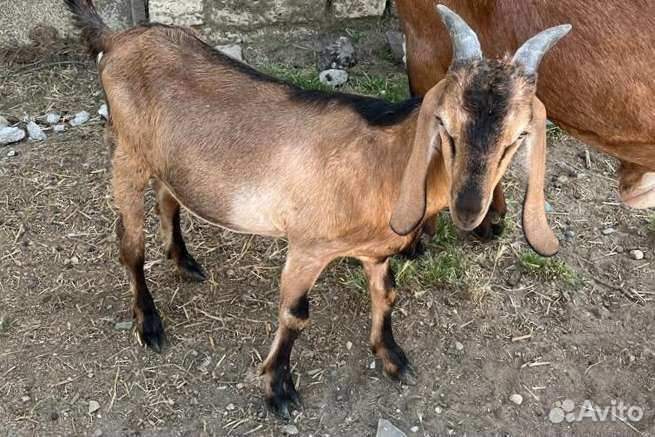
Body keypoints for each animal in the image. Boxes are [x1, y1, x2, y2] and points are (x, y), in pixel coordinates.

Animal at [65, 0, 568, 417]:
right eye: (444, 123)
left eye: (518, 136)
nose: (469, 208)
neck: (384, 161)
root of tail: (115, 40)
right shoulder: (307, 246)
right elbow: (295, 313)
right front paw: (279, 389)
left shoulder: (374, 252)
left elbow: (386, 296)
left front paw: (392, 358)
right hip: (127, 153)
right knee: (129, 244)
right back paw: (150, 323)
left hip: (169, 161)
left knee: (170, 199)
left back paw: (185, 263)